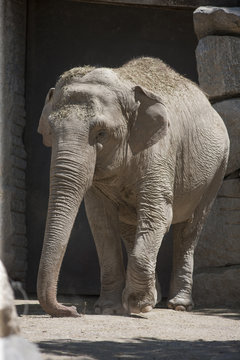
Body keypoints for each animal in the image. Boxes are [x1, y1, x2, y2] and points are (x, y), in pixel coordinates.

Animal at [36, 55, 230, 316]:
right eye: (50, 132)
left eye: (101, 134)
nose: (73, 309)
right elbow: (101, 221)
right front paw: (109, 308)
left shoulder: (159, 152)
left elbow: (158, 214)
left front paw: (138, 304)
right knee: (129, 227)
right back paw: (155, 299)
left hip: (218, 168)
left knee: (190, 229)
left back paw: (178, 305)